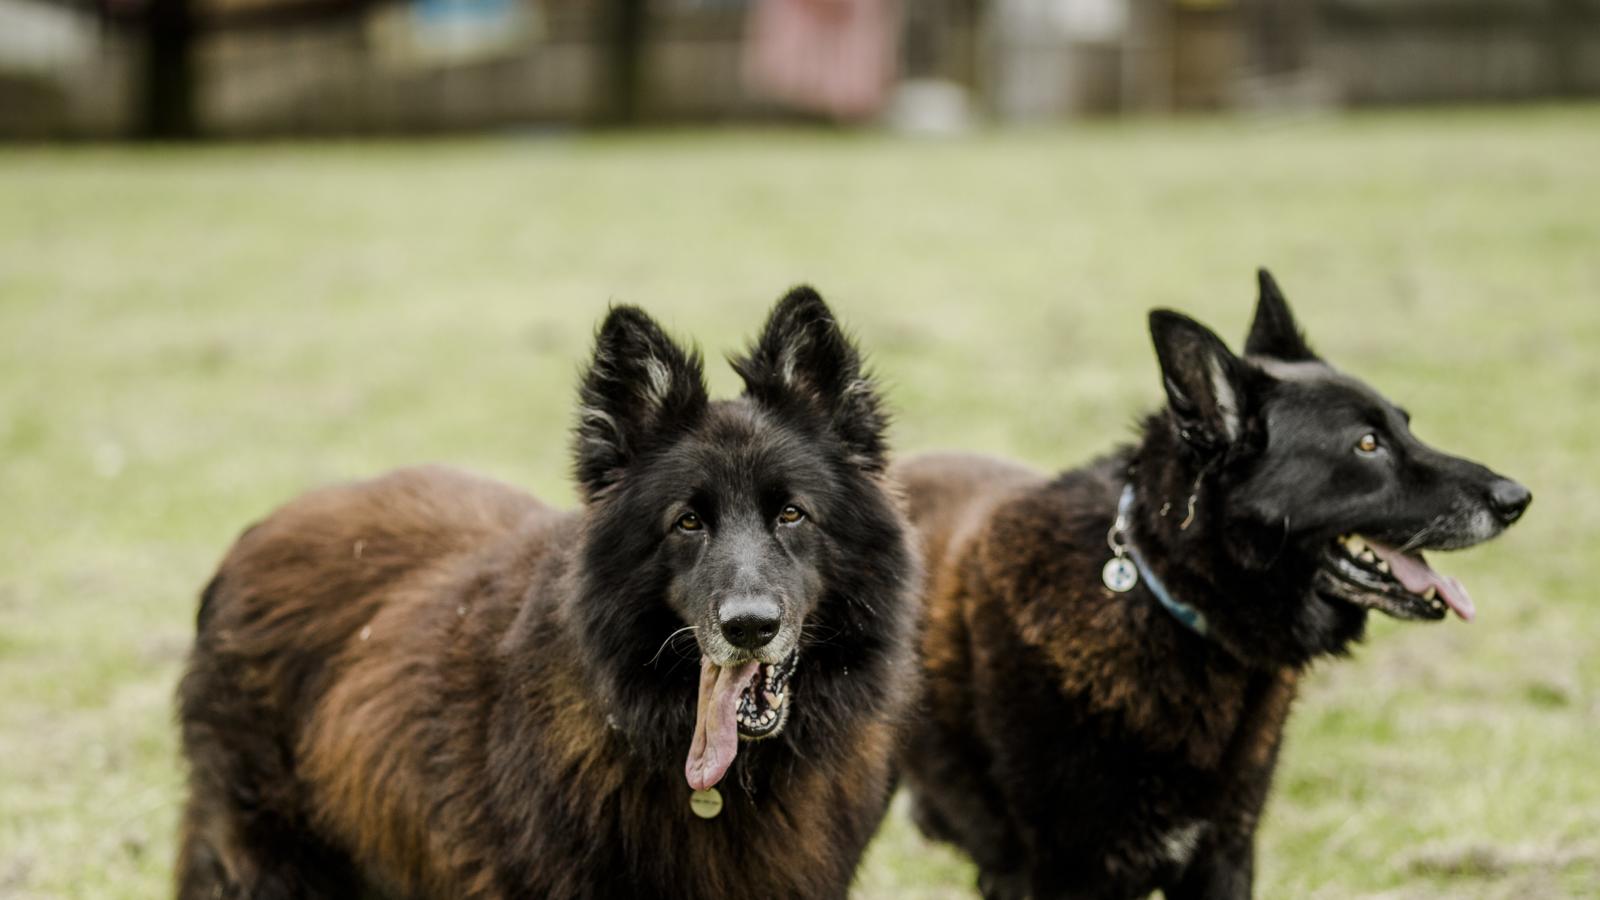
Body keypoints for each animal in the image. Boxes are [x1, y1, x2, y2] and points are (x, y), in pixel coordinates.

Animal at [896, 267, 1529, 896]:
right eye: (1367, 445)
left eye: (1405, 427)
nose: (1517, 499)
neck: (1165, 596)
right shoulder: (1064, 874)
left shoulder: (1224, 855)